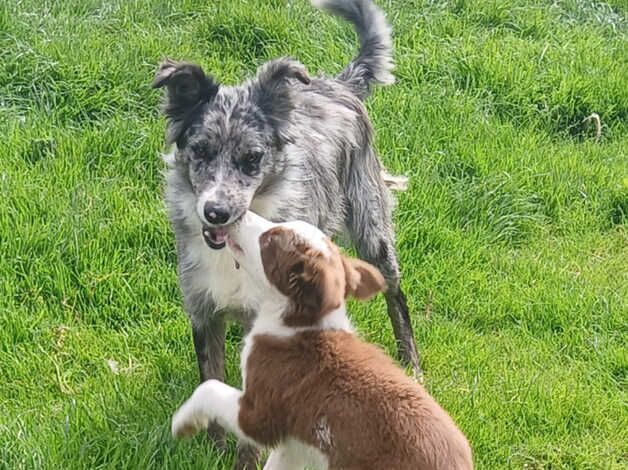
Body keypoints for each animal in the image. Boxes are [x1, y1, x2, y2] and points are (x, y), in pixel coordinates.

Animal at [170, 212, 472, 470]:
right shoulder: (293, 443)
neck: (299, 325)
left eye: (269, 239)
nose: (237, 214)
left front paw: (182, 424)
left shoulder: (261, 412)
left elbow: (209, 388)